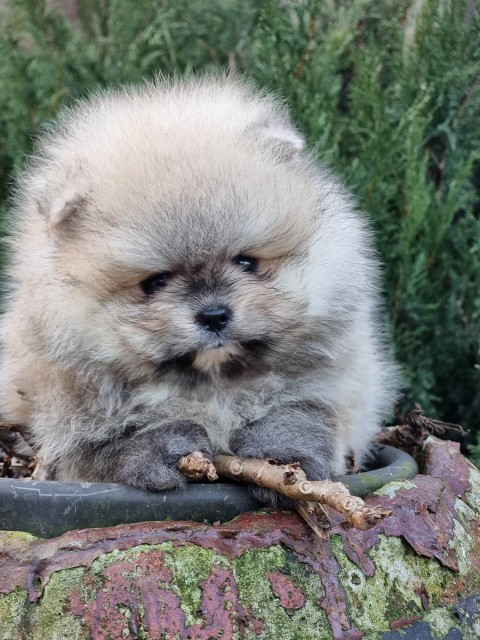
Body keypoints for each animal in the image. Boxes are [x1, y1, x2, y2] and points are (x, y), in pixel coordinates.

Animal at [0, 76, 398, 504]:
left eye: (246, 262)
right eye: (154, 282)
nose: (214, 315)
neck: (212, 385)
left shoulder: (326, 382)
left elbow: (298, 414)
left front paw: (286, 456)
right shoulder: (73, 418)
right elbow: (115, 443)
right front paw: (163, 448)